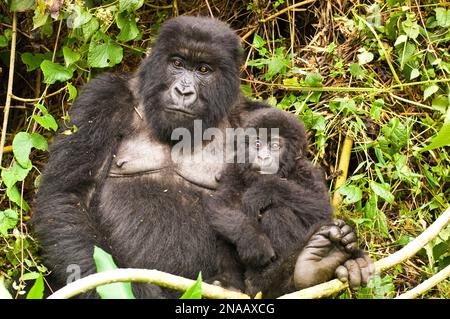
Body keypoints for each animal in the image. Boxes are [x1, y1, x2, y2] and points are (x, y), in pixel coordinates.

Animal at [206, 109, 360, 296]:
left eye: (274, 146)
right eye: (257, 144)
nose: (262, 157)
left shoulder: (307, 171)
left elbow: (323, 210)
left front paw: (264, 190)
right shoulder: (233, 169)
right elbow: (221, 205)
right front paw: (254, 241)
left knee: (277, 212)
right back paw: (231, 282)